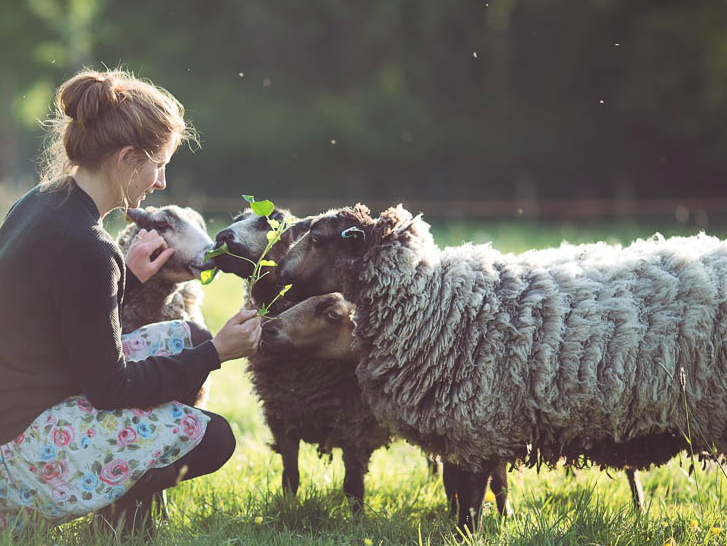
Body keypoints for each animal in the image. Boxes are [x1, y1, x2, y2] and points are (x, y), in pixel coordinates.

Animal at [278, 203, 727, 528]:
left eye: (317, 238)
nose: (274, 278)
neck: (435, 304)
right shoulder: (458, 433)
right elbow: (460, 494)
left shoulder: (477, 428)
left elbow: (471, 504)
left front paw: (468, 534)